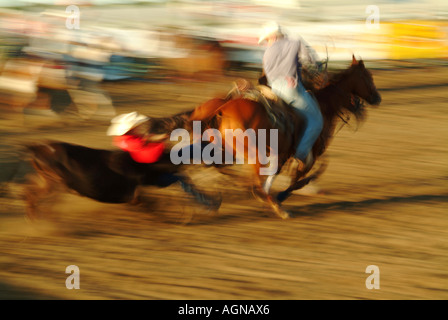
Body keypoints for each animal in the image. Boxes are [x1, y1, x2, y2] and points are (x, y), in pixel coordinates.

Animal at [187, 56, 380, 219]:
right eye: (368, 77)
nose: (377, 98)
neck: (324, 105)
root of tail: (223, 109)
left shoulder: (286, 153)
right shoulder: (307, 153)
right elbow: (299, 178)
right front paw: (281, 196)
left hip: (228, 151)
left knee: (224, 169)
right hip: (253, 154)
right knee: (252, 180)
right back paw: (276, 206)